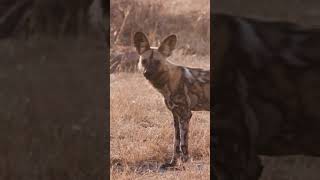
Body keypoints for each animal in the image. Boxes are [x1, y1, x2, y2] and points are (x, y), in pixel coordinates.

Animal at [133, 32, 210, 169]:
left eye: (157, 62)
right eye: (144, 61)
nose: (147, 73)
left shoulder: (185, 115)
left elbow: (183, 144)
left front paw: (185, 165)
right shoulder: (175, 115)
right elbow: (176, 142)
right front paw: (173, 163)